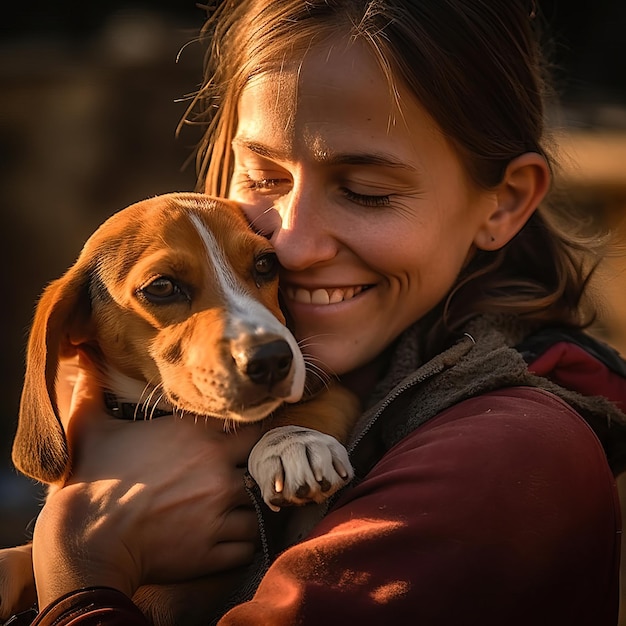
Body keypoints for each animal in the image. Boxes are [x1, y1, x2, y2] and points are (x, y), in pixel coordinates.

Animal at [0, 193, 358, 620]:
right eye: (162, 287)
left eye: (265, 264)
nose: (272, 358)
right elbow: (15, 559)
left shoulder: (338, 394)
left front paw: (293, 444)